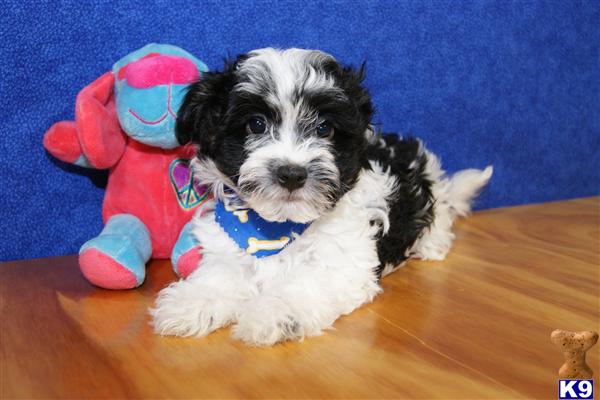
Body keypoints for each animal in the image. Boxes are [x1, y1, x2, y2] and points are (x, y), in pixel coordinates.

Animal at [150, 48, 492, 346]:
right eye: (256, 124)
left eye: (324, 128)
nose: (291, 174)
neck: (276, 227)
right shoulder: (229, 249)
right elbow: (219, 276)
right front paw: (190, 303)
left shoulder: (343, 262)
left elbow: (305, 284)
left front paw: (274, 313)